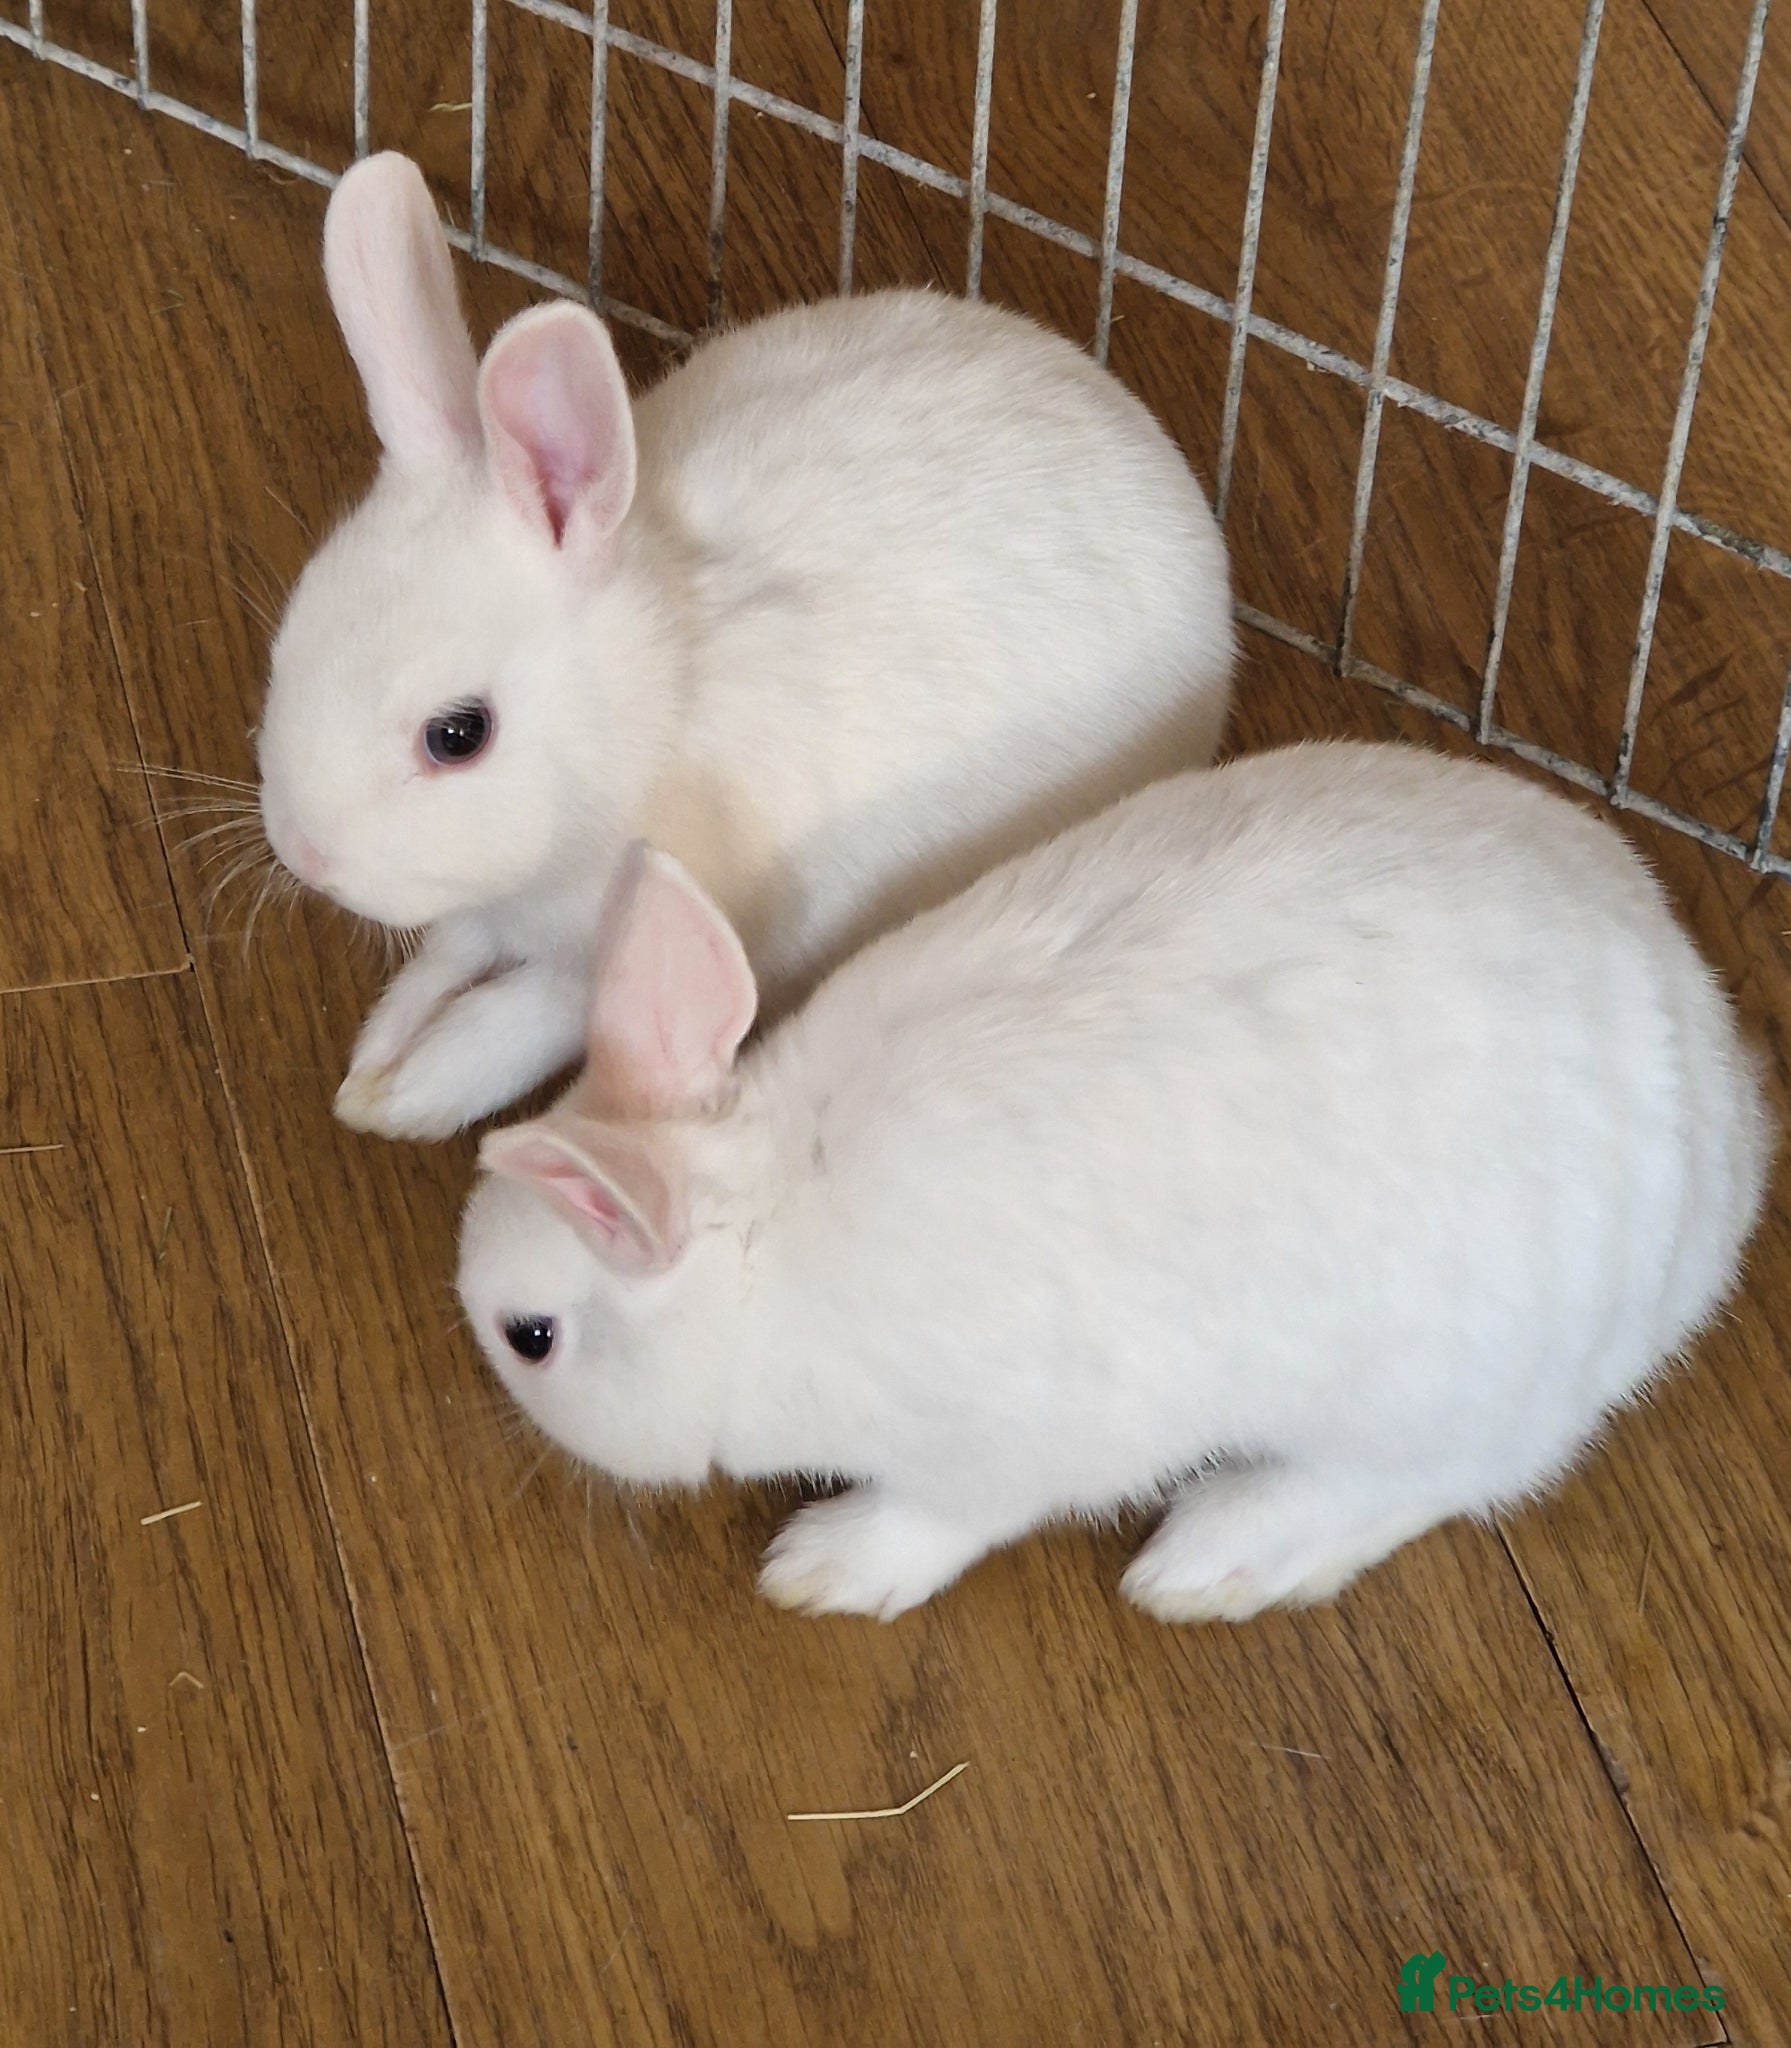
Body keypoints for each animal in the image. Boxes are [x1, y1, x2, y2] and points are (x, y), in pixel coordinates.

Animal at [255, 152, 1235, 1142]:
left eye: (458, 736)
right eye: (289, 638)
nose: (304, 855)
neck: (655, 714)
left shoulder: (624, 952)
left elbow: (512, 1026)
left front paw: (404, 1096)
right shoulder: (486, 912)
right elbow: (442, 964)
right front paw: (375, 1059)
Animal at [454, 738, 1771, 1623]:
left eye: (530, 1336)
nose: (468, 1322)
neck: (762, 1242)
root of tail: (1726, 1143)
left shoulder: (1002, 1447)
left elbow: (941, 1518)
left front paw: (821, 1566)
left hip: (1434, 1385)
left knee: (1436, 1477)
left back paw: (1208, 1562)